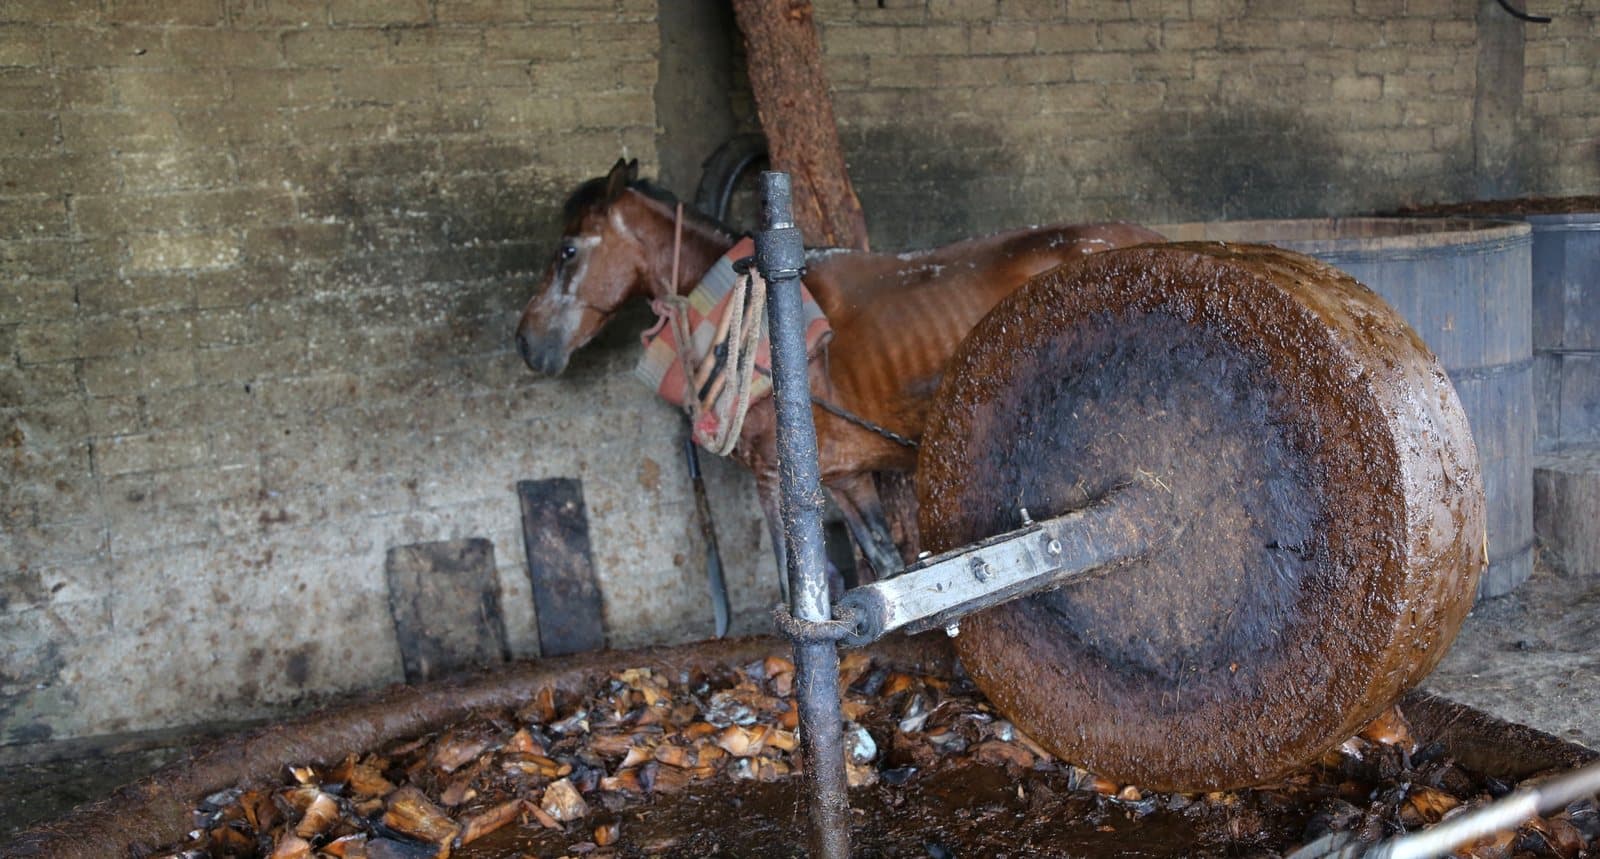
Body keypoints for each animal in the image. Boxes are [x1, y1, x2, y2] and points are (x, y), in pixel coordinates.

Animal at [516, 159, 1166, 586]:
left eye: (568, 251)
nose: (526, 342)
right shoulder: (847, 478)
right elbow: (886, 565)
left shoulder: (773, 482)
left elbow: (803, 583)